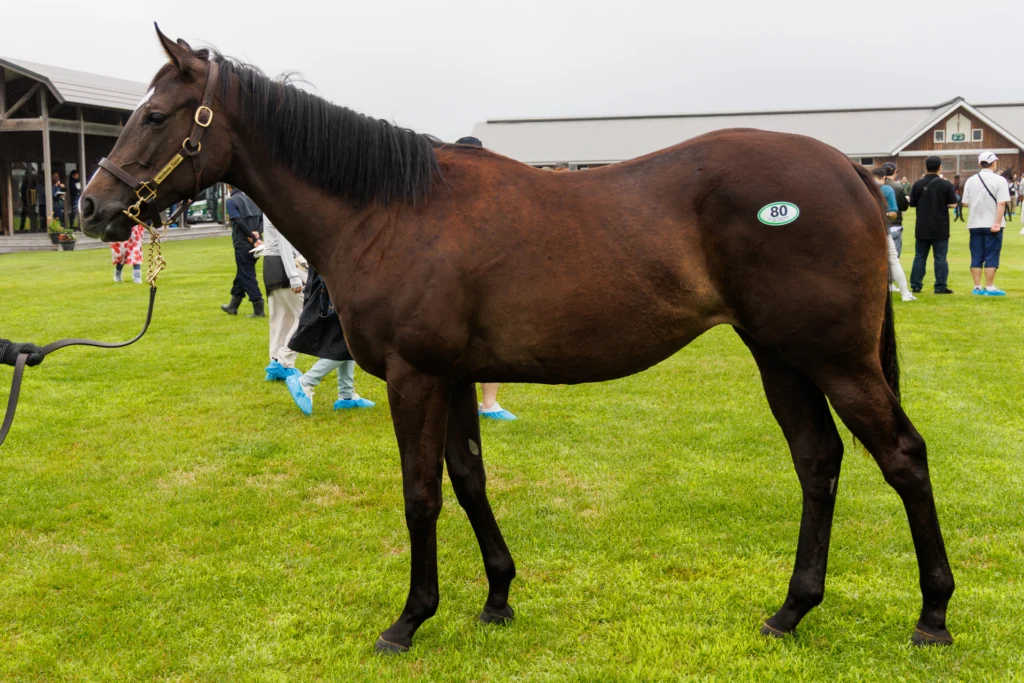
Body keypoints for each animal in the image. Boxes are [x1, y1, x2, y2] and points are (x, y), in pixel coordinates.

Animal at [80, 26, 955, 653]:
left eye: (154, 116)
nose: (91, 207)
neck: (390, 208)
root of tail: (848, 170)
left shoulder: (416, 376)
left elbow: (421, 492)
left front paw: (409, 618)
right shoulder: (454, 375)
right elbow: (469, 478)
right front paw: (497, 596)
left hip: (836, 360)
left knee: (902, 456)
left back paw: (933, 613)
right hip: (781, 357)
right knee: (819, 461)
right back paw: (792, 609)